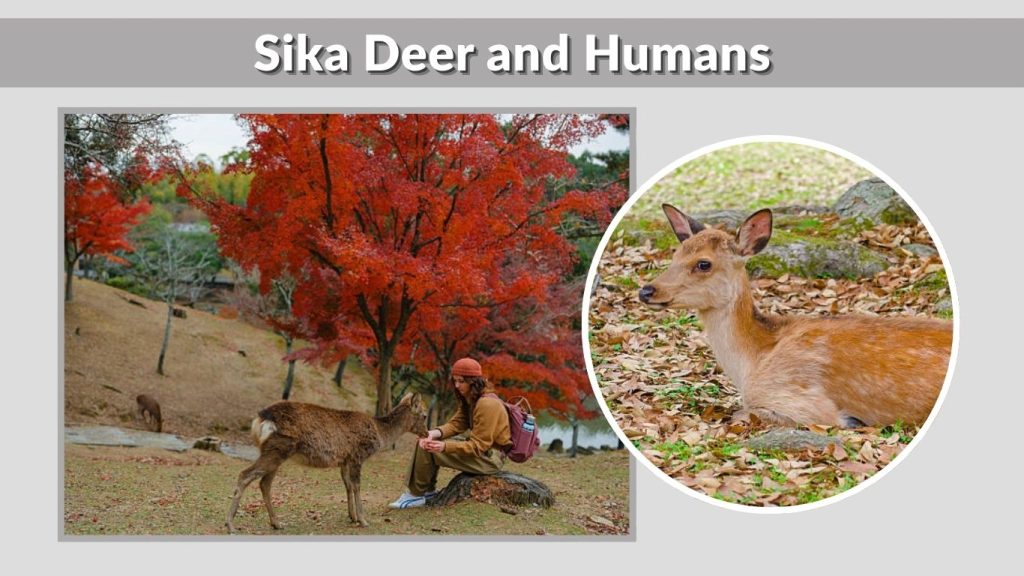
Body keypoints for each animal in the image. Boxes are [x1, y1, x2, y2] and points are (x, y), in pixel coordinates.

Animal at [226, 392, 428, 533]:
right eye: (425, 415)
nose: (427, 433)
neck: (380, 433)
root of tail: (260, 419)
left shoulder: (344, 460)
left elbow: (347, 486)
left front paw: (352, 516)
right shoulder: (357, 455)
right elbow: (357, 486)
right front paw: (363, 520)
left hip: (275, 452)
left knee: (264, 483)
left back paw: (277, 523)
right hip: (278, 449)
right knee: (245, 475)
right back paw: (230, 525)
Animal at [638, 204, 952, 429]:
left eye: (704, 263)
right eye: (675, 255)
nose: (647, 290)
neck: (753, 363)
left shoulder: (800, 399)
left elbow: (742, 413)